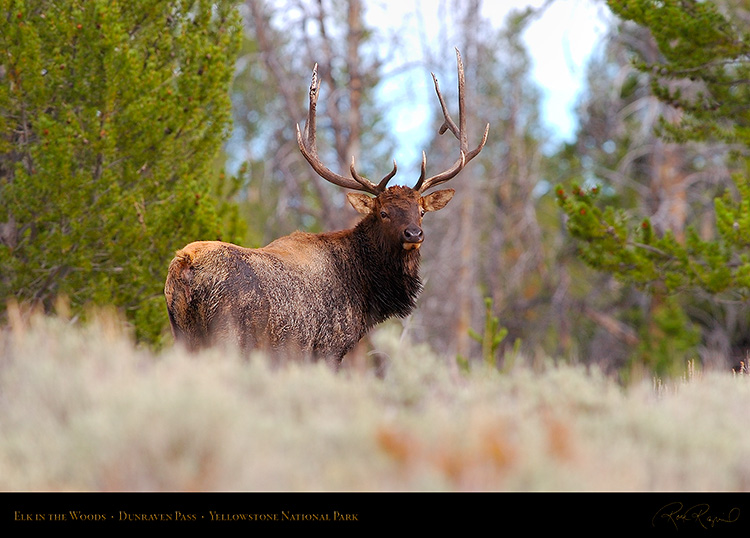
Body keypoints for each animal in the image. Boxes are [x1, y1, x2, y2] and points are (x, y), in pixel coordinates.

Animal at [165, 50, 490, 366]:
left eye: (421, 211)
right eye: (383, 213)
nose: (413, 234)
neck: (365, 293)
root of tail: (185, 263)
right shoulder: (328, 346)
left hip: (182, 335)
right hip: (228, 334)